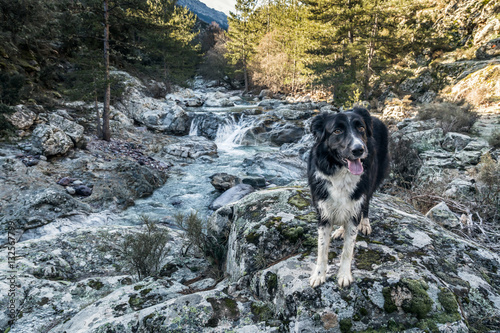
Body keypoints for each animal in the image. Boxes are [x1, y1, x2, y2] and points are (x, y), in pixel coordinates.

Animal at [306, 107, 388, 286]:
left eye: (361, 128)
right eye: (337, 131)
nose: (359, 149)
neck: (341, 173)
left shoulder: (355, 207)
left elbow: (348, 249)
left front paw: (344, 275)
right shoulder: (323, 212)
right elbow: (322, 248)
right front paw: (319, 275)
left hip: (373, 180)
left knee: (366, 205)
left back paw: (365, 223)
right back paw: (340, 230)